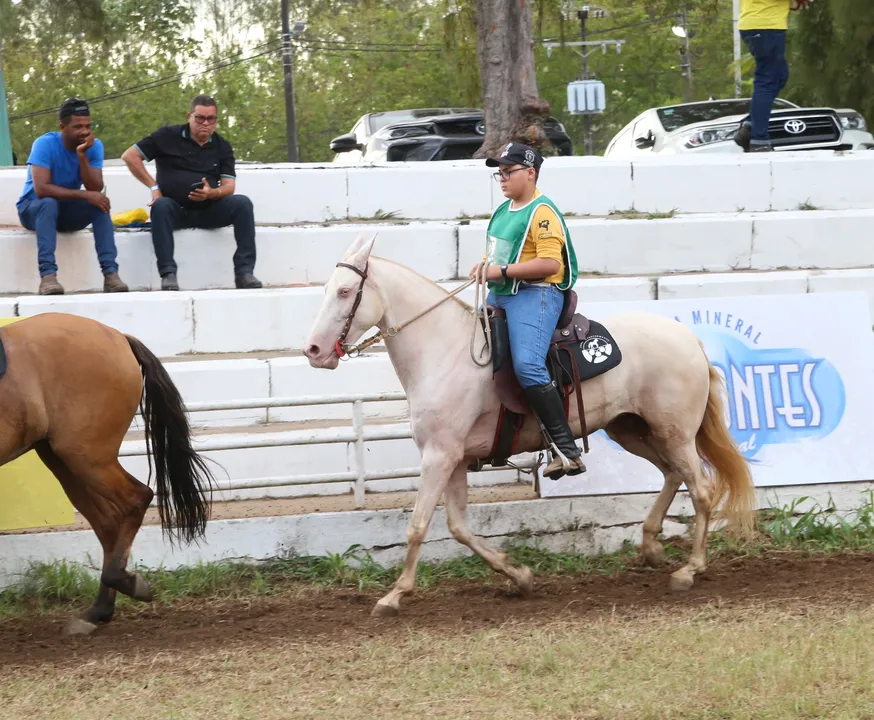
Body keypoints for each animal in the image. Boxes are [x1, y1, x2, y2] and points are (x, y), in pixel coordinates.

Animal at [0, 312, 214, 632]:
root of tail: (118, 337)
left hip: (87, 457)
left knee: (136, 499)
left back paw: (125, 584)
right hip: (63, 460)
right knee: (108, 522)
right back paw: (99, 610)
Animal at [304, 233, 752, 616]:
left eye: (346, 291)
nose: (313, 350)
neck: (444, 350)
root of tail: (689, 339)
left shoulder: (438, 455)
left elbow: (417, 526)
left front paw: (394, 595)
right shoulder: (453, 458)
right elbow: (458, 527)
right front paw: (518, 575)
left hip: (674, 433)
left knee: (702, 489)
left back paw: (689, 569)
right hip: (633, 429)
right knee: (674, 474)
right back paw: (651, 546)